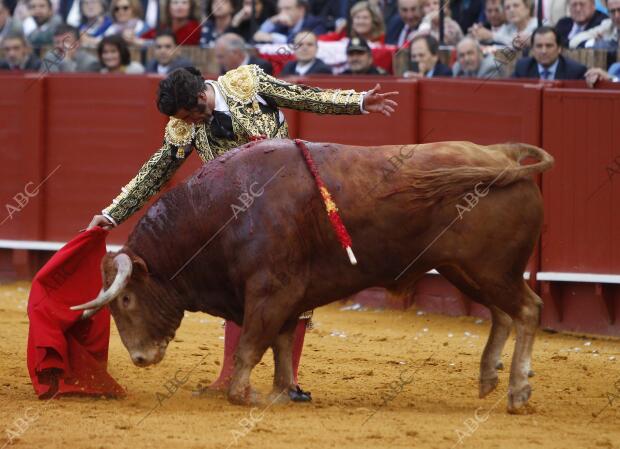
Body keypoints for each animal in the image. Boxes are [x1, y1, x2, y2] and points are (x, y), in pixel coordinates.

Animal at [71, 138, 552, 412]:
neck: (221, 212)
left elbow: (251, 346)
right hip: (467, 270)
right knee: (502, 314)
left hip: (489, 269)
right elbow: (282, 346)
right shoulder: (284, 297)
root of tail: (505, 159)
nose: (139, 358)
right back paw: (490, 378)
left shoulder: (270, 291)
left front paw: (243, 394)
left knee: (528, 309)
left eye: (126, 299)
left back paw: (518, 393)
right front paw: (283, 393)